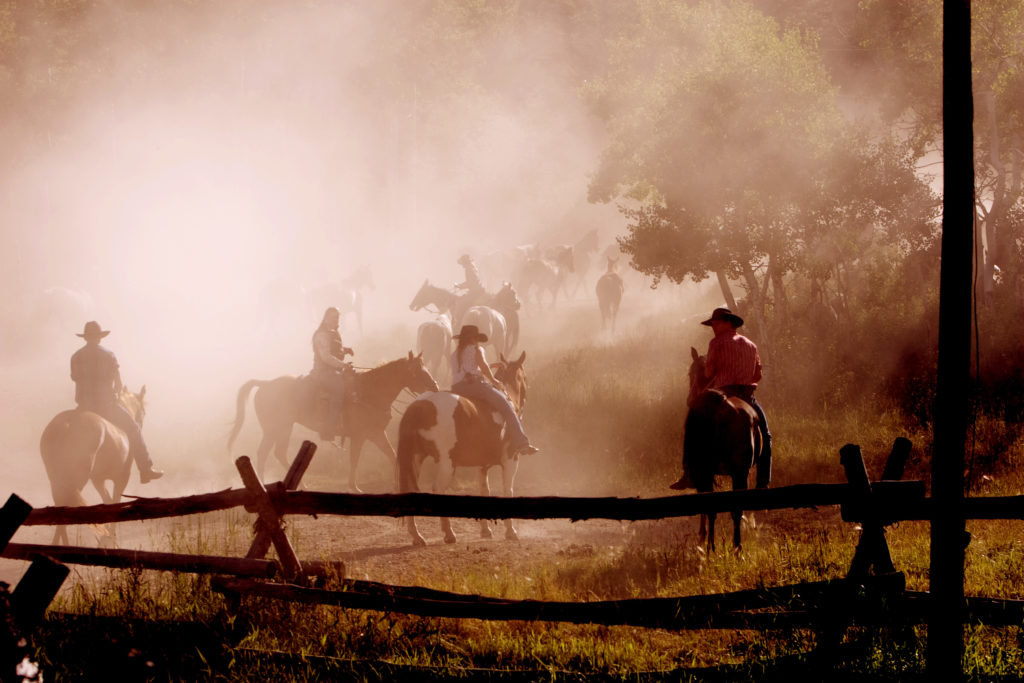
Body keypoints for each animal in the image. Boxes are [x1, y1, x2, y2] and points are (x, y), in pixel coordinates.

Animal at [38, 387, 148, 548]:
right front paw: (111, 538)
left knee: (60, 506)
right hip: (76, 480)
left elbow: (108, 501)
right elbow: (115, 503)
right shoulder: (122, 478)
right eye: (143, 412)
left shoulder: (98, 480)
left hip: (57, 480)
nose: (140, 424)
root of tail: (67, 425)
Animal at [226, 352, 438, 491]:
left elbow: (392, 455)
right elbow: (354, 459)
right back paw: (262, 486)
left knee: (279, 453)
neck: (368, 392)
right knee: (262, 454)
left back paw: (300, 485)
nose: (435, 387)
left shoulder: (376, 434)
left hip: (285, 428)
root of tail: (265, 383)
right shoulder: (360, 436)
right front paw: (354, 487)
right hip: (274, 429)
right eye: (418, 371)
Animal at [395, 350, 528, 548]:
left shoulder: (482, 466)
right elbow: (507, 490)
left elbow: (484, 491)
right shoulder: (511, 460)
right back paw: (448, 533)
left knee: (410, 489)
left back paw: (417, 535)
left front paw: (485, 530)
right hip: (445, 464)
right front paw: (510, 531)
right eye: (524, 377)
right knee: (437, 489)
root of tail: (420, 405)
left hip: (415, 459)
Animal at [679, 350, 761, 552]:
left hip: (710, 470)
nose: (689, 399)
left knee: (712, 507)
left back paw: (712, 546)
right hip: (739, 472)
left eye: (690, 373)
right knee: (734, 508)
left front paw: (701, 536)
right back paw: (736, 547)